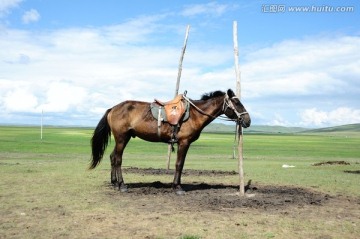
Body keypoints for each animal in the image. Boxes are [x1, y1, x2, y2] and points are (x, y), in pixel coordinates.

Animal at [89, 89, 250, 194]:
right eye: (237, 103)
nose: (248, 120)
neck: (195, 114)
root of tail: (112, 109)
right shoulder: (184, 143)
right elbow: (179, 164)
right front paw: (177, 187)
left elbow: (180, 165)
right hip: (122, 138)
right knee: (117, 159)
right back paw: (122, 185)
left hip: (123, 138)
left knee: (112, 157)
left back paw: (114, 182)